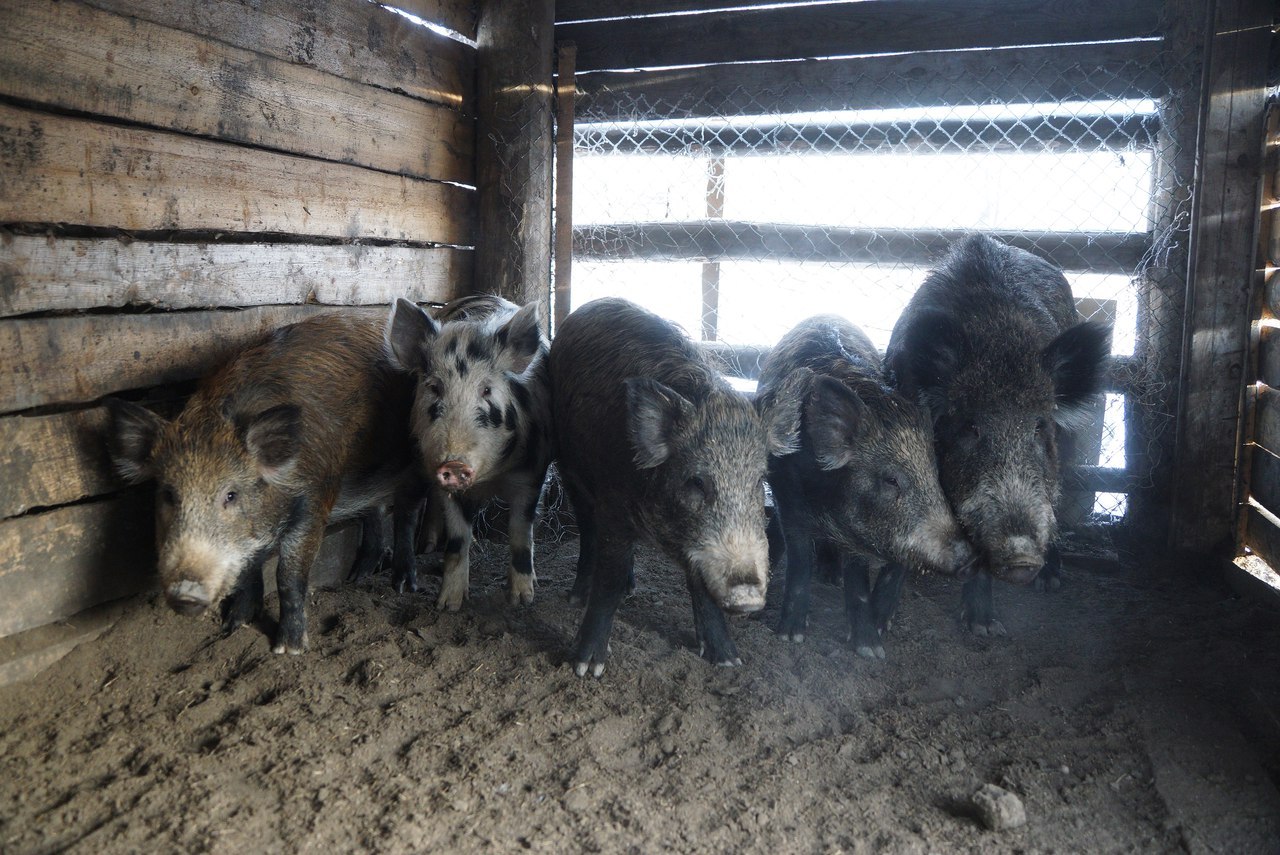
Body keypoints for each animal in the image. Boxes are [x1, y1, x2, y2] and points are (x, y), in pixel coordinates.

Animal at [106, 313, 414, 655]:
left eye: (231, 494)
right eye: (169, 495)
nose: (185, 593)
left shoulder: (316, 498)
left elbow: (288, 576)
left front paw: (288, 649)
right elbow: (249, 569)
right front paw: (233, 626)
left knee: (407, 513)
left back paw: (403, 585)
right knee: (375, 510)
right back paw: (358, 577)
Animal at [384, 291, 555, 606]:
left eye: (487, 390)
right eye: (434, 387)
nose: (454, 464)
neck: (491, 478)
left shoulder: (532, 474)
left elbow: (520, 533)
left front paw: (522, 600)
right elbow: (456, 538)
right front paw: (448, 605)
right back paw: (420, 558)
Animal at [752, 317, 972, 660]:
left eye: (934, 474)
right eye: (891, 480)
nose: (970, 559)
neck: (827, 498)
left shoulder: (854, 531)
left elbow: (857, 576)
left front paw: (871, 651)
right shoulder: (790, 498)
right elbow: (800, 560)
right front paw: (790, 637)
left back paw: (832, 577)